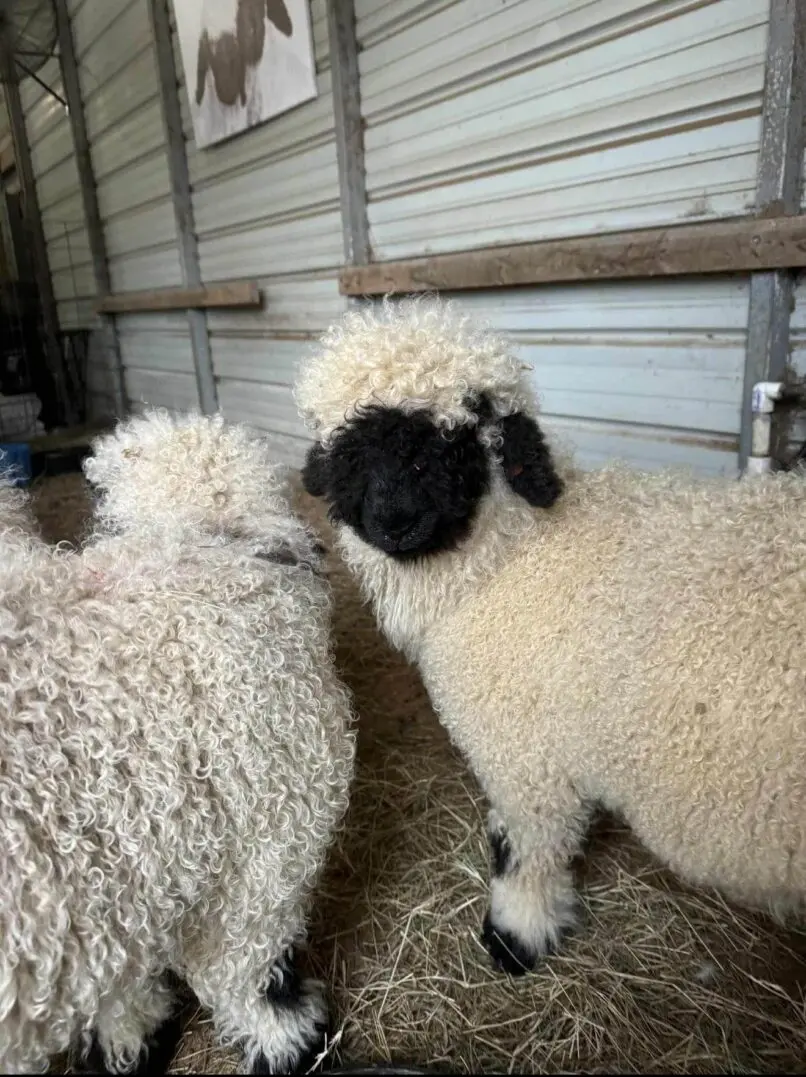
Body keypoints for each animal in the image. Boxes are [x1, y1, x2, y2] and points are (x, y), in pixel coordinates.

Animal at [295, 297, 806, 977]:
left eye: (461, 435)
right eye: (346, 445)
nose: (396, 520)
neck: (510, 564)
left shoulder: (527, 761)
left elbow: (525, 852)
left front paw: (517, 935)